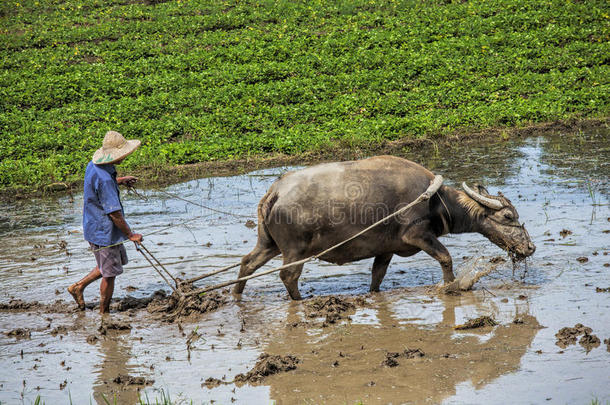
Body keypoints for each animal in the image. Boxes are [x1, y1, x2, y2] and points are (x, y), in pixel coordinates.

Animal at [233, 156, 532, 298]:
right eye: (508, 216)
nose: (529, 247)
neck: (435, 200)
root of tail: (275, 192)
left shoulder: (386, 249)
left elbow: (377, 276)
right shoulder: (418, 235)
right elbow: (445, 257)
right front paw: (451, 286)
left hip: (269, 243)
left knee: (248, 262)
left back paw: (237, 294)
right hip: (295, 250)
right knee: (288, 275)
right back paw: (299, 299)